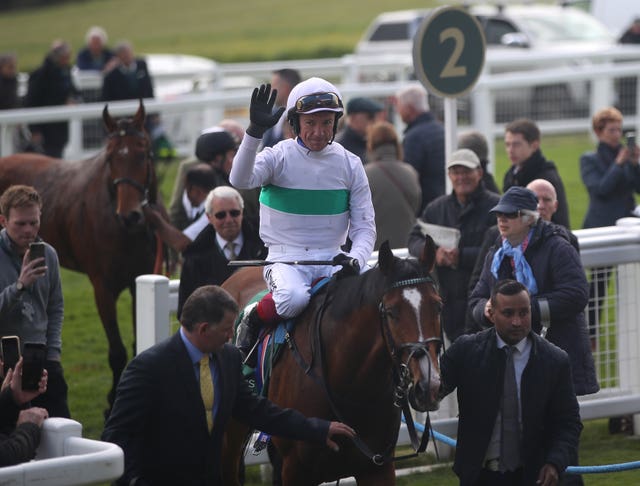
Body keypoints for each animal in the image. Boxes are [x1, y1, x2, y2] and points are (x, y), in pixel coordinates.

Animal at [0, 101, 159, 406]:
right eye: (110, 158)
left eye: (143, 151)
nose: (130, 215)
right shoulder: (103, 288)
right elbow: (117, 350)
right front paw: (112, 401)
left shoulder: (138, 280)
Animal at [222, 240, 442, 486]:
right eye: (392, 312)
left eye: (438, 306)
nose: (429, 385)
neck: (350, 384)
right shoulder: (294, 469)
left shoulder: (377, 469)